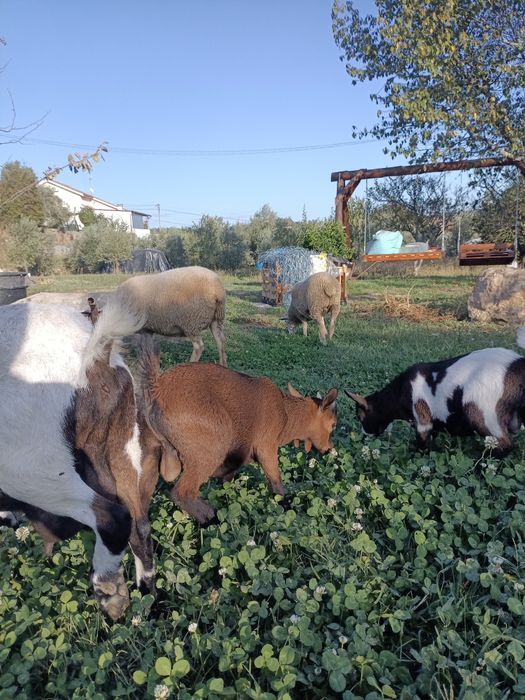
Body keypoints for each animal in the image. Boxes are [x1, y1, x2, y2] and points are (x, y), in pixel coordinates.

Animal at [0, 301, 155, 619]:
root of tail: (93, 356)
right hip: (121, 449)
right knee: (140, 525)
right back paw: (146, 595)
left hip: (32, 472)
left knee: (113, 518)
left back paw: (111, 595)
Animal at [137, 335, 338, 524]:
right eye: (333, 423)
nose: (329, 449)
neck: (286, 412)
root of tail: (157, 389)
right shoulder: (266, 447)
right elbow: (276, 481)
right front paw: (286, 503)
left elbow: (228, 478)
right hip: (211, 447)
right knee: (182, 492)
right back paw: (211, 518)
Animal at [346, 328, 525, 457]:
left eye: (360, 417)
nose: (363, 438)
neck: (400, 391)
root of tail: (517, 364)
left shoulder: (423, 421)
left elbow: (422, 446)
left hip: (483, 413)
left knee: (505, 445)